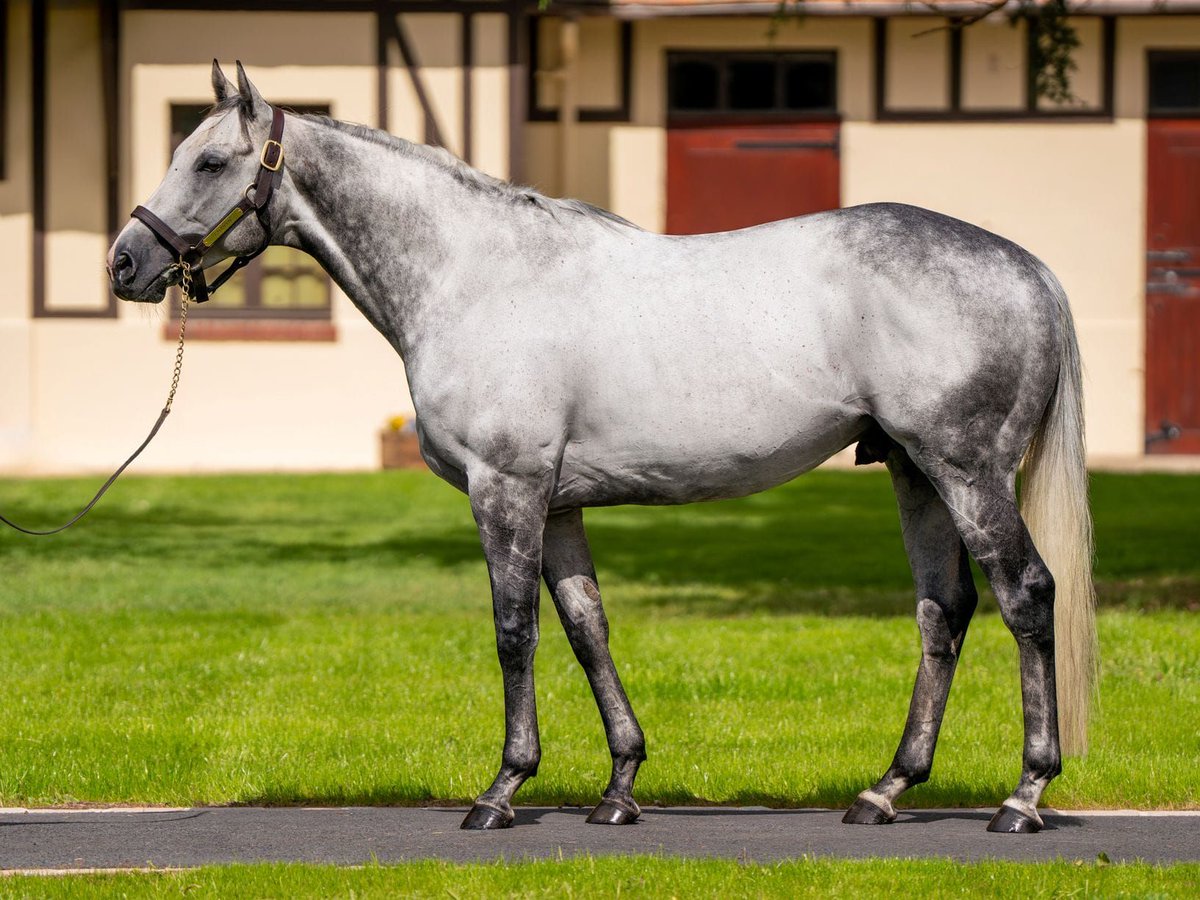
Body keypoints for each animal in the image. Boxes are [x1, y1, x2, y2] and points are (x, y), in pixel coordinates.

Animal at [108, 61, 1095, 834]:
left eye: (209, 160)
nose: (123, 263)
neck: (473, 274)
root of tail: (1029, 268)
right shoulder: (558, 505)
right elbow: (587, 628)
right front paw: (620, 786)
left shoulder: (505, 490)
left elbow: (514, 630)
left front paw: (502, 790)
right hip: (914, 474)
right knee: (943, 612)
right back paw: (886, 790)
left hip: (966, 472)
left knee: (1025, 595)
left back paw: (1023, 795)